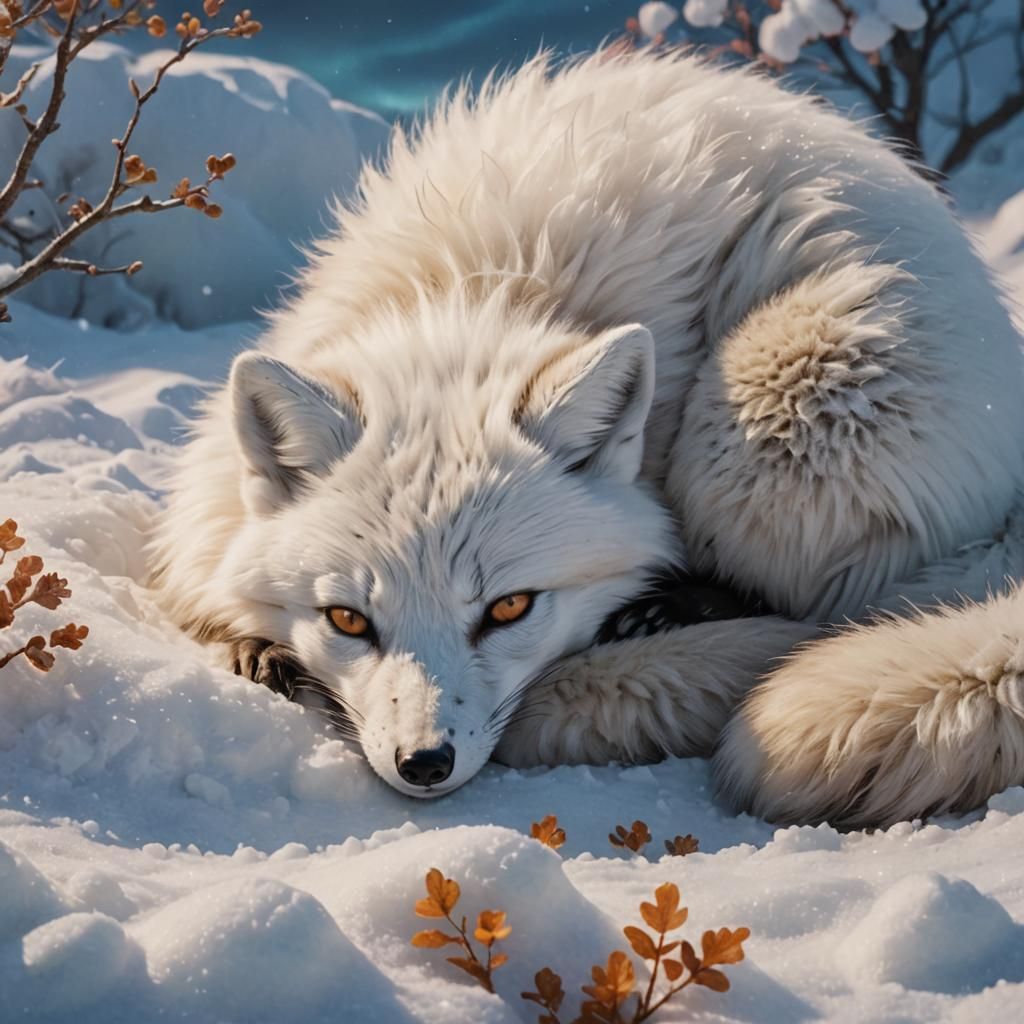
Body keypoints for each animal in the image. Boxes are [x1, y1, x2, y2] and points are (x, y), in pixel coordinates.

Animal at [150, 49, 1024, 829]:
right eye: (347, 620)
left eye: (509, 608)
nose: (425, 763)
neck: (470, 293)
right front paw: (249, 645)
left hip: (771, 397)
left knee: (819, 605)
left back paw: (671, 613)